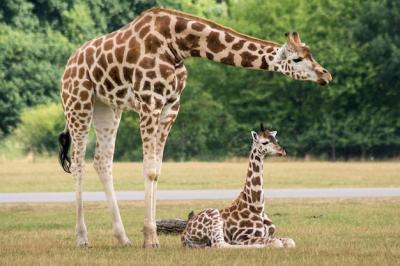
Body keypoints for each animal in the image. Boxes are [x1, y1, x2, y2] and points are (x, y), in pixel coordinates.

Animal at [56, 6, 332, 248]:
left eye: (311, 54)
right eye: (297, 58)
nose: (326, 75)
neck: (177, 44)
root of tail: (67, 65)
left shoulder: (171, 105)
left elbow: (157, 170)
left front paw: (149, 236)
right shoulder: (150, 101)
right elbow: (148, 169)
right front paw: (151, 239)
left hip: (108, 108)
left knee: (102, 161)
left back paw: (123, 238)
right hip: (78, 103)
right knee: (79, 163)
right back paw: (82, 238)